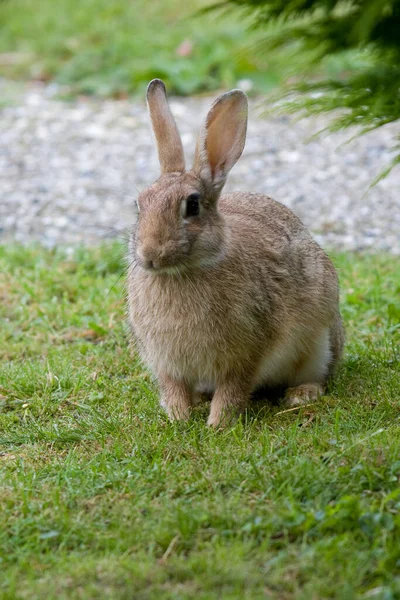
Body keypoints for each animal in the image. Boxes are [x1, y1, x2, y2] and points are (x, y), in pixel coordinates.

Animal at [127, 79, 344, 426]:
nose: (150, 254)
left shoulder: (247, 353)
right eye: (139, 205)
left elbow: (233, 388)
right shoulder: (165, 362)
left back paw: (301, 394)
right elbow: (173, 387)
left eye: (192, 205)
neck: (183, 272)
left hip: (320, 340)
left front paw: (218, 424)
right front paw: (178, 417)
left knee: (320, 373)